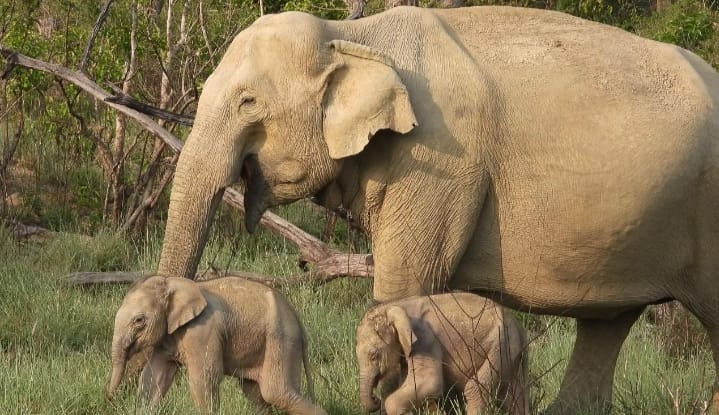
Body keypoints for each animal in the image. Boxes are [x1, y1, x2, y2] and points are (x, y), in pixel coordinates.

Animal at [106, 275, 326, 415]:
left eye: (139, 320)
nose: (108, 397)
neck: (173, 282)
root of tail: (297, 317)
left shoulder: (203, 331)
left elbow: (204, 377)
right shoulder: (167, 338)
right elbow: (153, 378)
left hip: (282, 340)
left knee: (275, 391)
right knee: (255, 393)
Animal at [356, 293, 528, 415]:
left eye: (374, 355)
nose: (375, 399)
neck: (397, 305)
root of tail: (520, 329)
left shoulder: (425, 339)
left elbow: (430, 383)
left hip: (499, 345)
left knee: (475, 389)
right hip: (509, 352)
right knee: (512, 395)